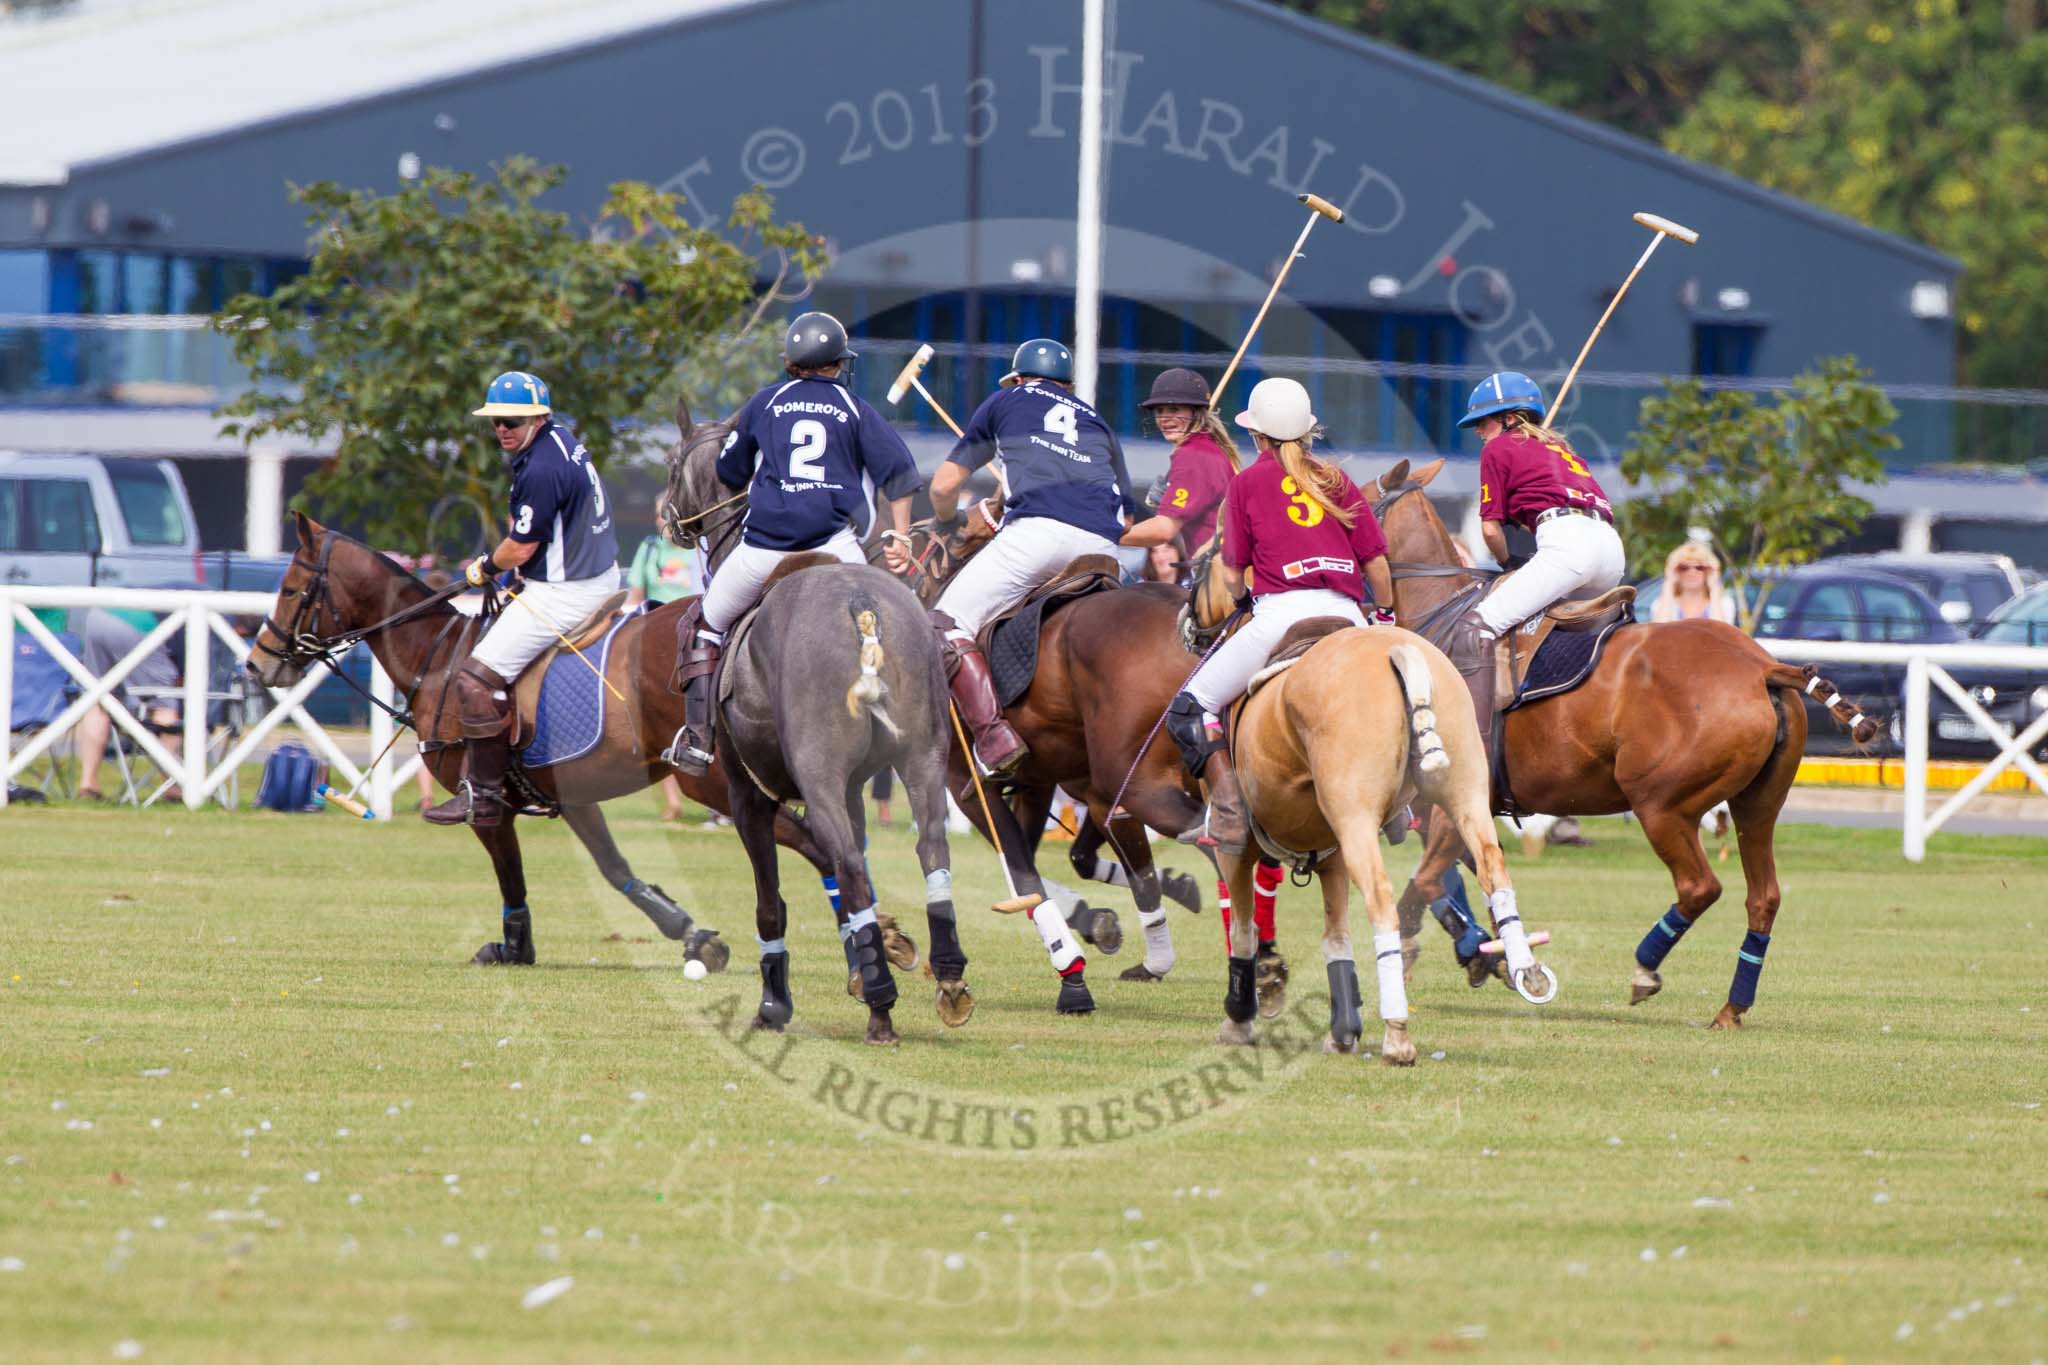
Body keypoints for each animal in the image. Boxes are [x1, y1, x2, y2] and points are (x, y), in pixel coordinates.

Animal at [241, 511, 913, 970]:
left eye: (291, 589)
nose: (257, 663)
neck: (437, 657)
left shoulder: (487, 800)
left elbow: (510, 875)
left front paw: (513, 946)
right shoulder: (571, 794)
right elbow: (615, 868)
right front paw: (690, 932)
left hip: (714, 782)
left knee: (818, 844)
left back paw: (876, 942)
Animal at [663, 405, 966, 1047]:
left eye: (674, 464)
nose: (667, 517)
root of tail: (860, 609)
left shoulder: (748, 794)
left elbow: (772, 901)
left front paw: (775, 1004)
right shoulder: (853, 787)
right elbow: (852, 871)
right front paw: (878, 948)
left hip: (819, 770)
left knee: (846, 862)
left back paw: (881, 1007)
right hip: (923, 757)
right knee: (929, 843)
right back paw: (948, 977)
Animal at [1204, 626, 1540, 1064]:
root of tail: (1398, 650)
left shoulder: (1235, 850)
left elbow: (1243, 930)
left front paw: (1240, 1018)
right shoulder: (1332, 855)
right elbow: (1336, 939)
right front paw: (1343, 1031)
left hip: (1356, 817)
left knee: (1382, 901)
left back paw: (1397, 1034)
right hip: (1463, 789)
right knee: (1491, 865)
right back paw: (1524, 967)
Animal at [1359, 454, 1875, 1031]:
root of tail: (1763, 666)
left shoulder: (1454, 804)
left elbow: (1425, 886)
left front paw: (1425, 968)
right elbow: (1473, 881)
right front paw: (1494, 957)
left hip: (1661, 803)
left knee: (1701, 886)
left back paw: (1645, 969)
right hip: (1757, 804)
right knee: (1763, 896)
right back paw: (1730, 1008)